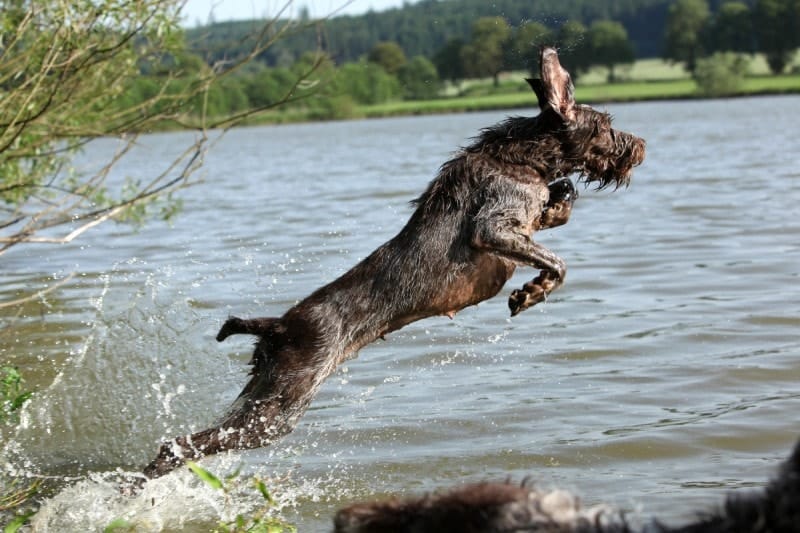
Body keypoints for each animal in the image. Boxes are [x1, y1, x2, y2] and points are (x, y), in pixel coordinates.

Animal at [142, 46, 644, 478]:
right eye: (605, 125)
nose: (639, 145)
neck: (524, 157)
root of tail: (277, 326)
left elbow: (561, 203)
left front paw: (552, 226)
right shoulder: (493, 228)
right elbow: (557, 260)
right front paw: (532, 291)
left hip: (260, 392)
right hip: (279, 408)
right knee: (176, 446)